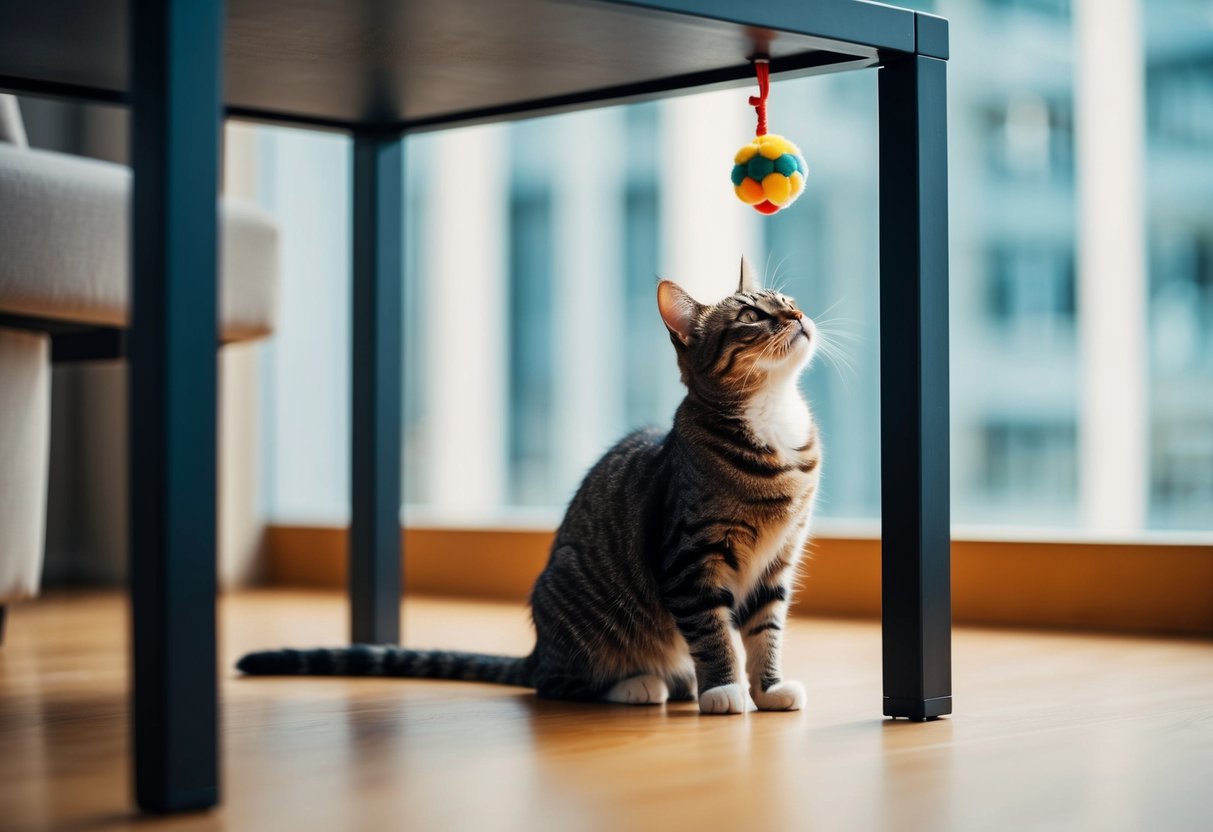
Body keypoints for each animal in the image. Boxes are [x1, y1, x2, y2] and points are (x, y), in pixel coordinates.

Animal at [237, 260, 819, 717]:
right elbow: (714, 632)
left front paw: (767, 688)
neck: (772, 421)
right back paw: (637, 684)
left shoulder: (777, 560)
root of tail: (538, 647)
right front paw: (724, 690)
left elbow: (765, 631)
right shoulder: (690, 560)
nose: (798, 315)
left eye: (788, 301)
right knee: (558, 683)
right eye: (753, 317)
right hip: (584, 620)